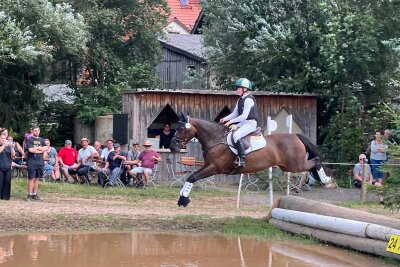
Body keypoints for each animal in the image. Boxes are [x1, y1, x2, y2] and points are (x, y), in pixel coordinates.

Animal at [170, 114, 330, 208]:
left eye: (181, 129)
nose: (172, 146)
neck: (215, 139)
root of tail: (296, 136)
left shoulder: (215, 167)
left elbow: (192, 177)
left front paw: (183, 199)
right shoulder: (207, 165)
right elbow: (191, 176)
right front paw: (182, 197)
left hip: (295, 165)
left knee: (315, 161)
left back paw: (327, 181)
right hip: (287, 166)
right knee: (312, 164)